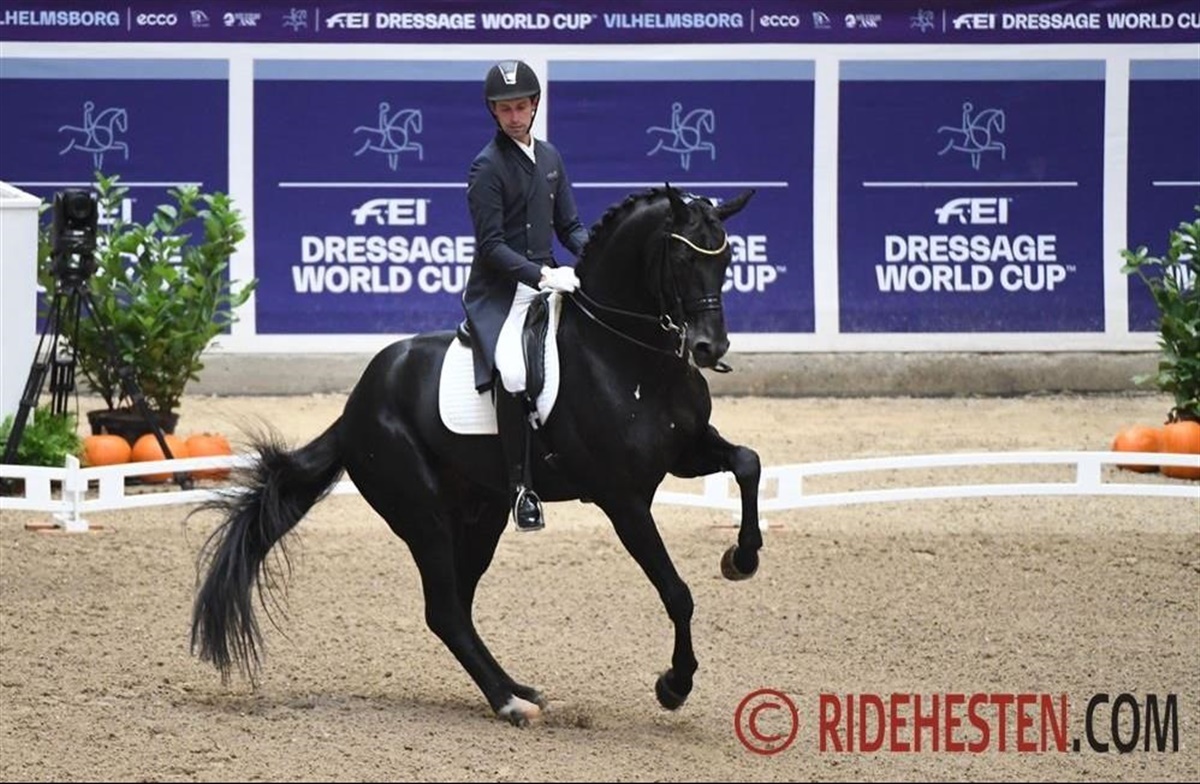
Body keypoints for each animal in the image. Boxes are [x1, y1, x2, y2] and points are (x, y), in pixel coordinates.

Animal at [190, 184, 763, 726]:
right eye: (683, 257)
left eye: (727, 258)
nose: (710, 348)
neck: (629, 356)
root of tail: (354, 407)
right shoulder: (622, 498)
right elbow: (677, 591)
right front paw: (674, 685)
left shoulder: (684, 452)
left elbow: (748, 463)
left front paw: (742, 558)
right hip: (423, 515)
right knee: (444, 610)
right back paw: (510, 704)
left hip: (481, 512)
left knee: (458, 607)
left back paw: (517, 689)